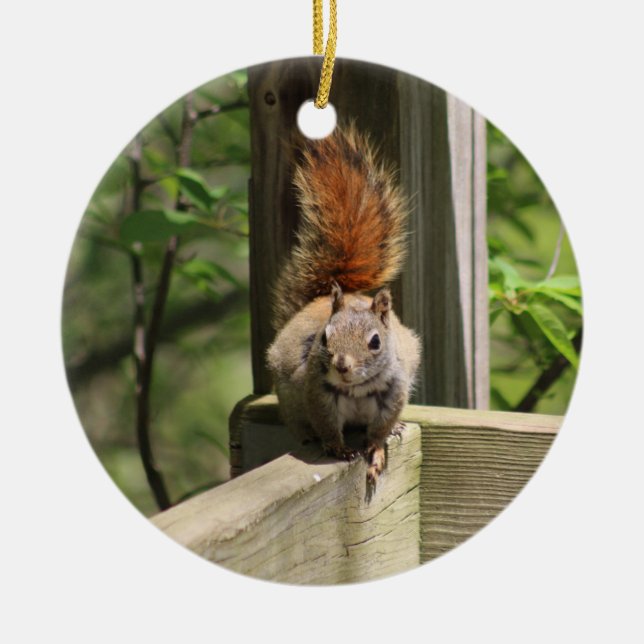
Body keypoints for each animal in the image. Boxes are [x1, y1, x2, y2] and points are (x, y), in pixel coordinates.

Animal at [266, 126, 421, 484]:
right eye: (324, 338)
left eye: (375, 342)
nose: (341, 365)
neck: (357, 389)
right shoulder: (317, 393)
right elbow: (327, 425)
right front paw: (337, 448)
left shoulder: (394, 393)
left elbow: (379, 430)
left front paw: (376, 450)